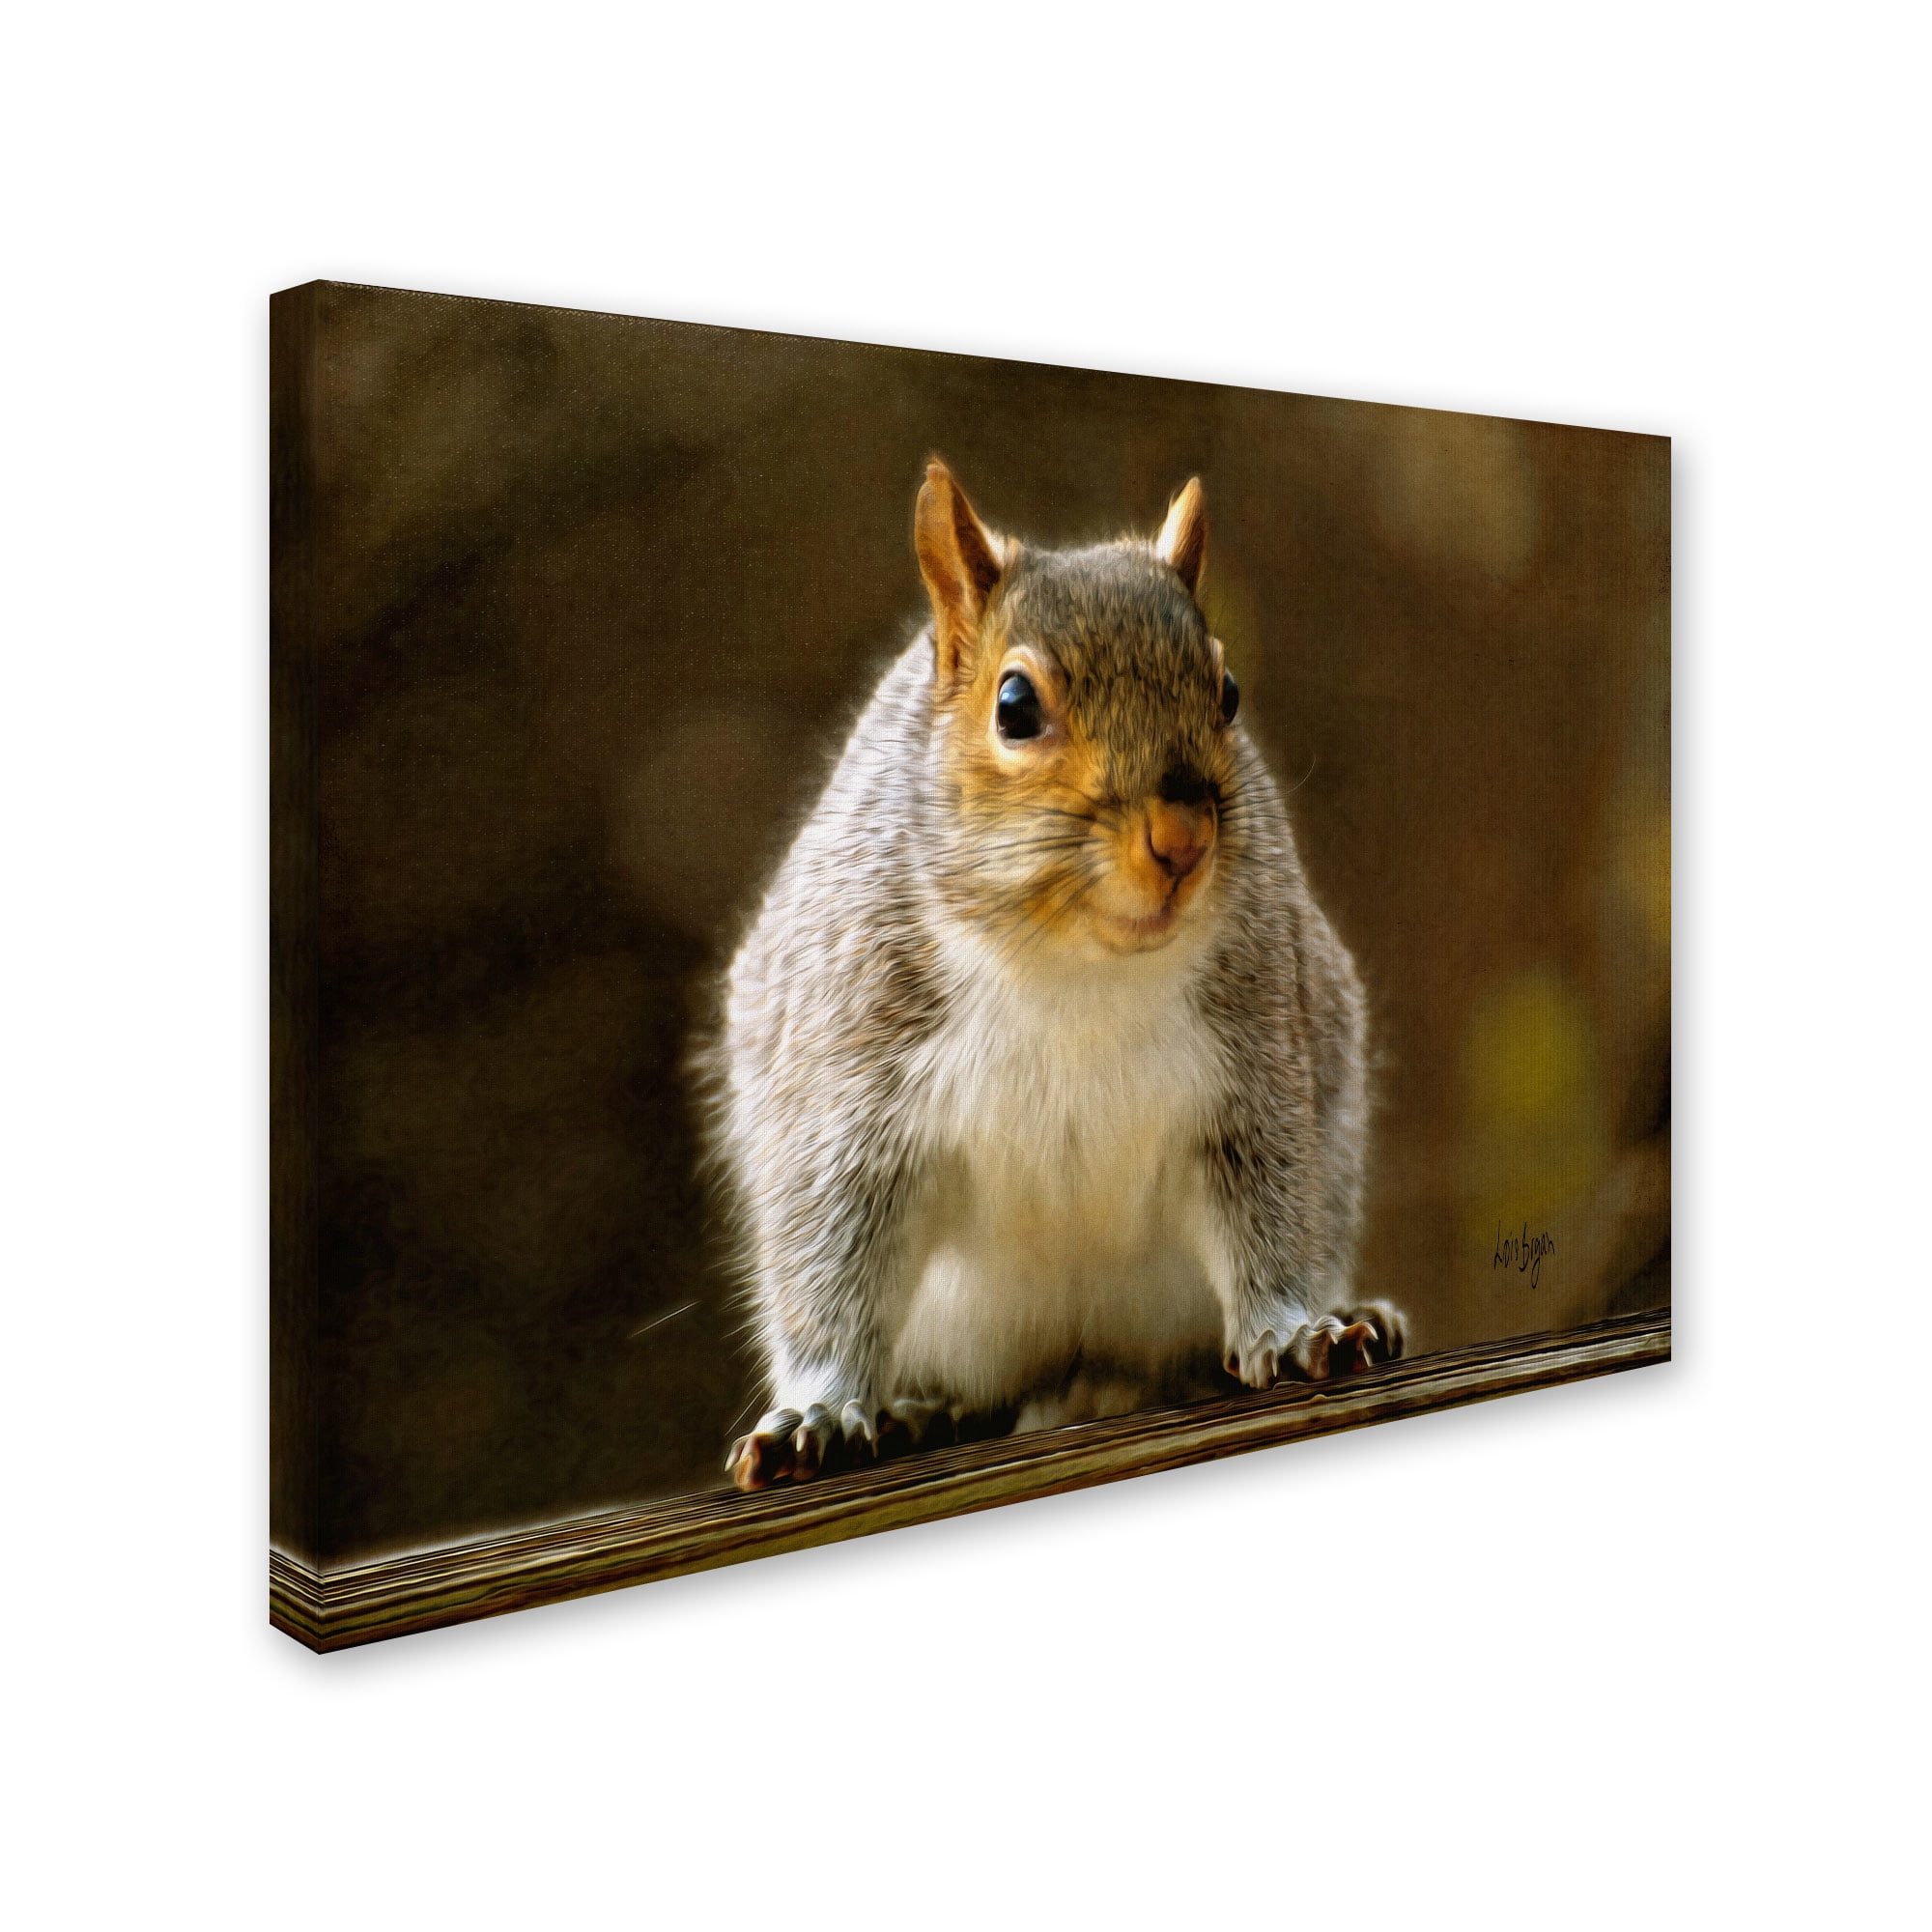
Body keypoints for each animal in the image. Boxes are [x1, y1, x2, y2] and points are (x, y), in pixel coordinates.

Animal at [707, 462, 1401, 1490]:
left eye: (1228, 691)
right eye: (1015, 708)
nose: (1183, 839)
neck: (1073, 970)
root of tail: (1080, 1375)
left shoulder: (1255, 1064)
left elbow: (1269, 1210)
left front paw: (1294, 1330)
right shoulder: (853, 1083)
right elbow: (832, 1249)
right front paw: (821, 1412)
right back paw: (920, 1409)